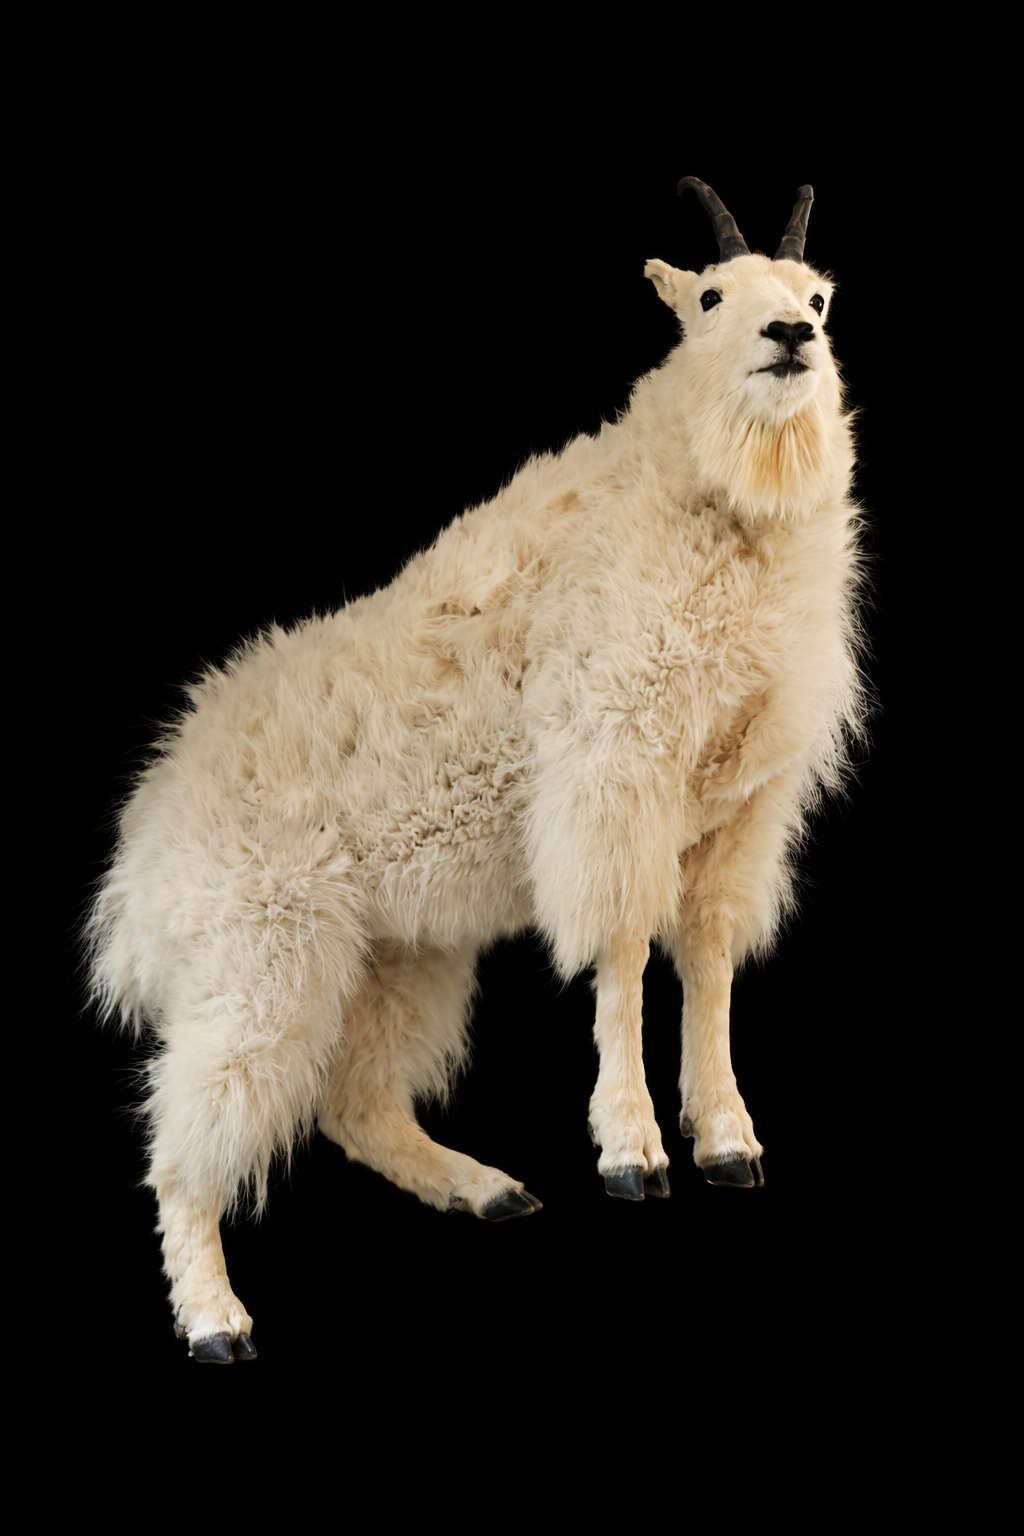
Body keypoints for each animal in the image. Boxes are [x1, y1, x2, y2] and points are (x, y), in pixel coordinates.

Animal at [88, 178, 866, 1362]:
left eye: (818, 294)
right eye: (709, 297)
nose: (791, 338)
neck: (712, 506)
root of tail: (136, 874)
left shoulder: (741, 800)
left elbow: (710, 957)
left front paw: (728, 1138)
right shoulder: (611, 769)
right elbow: (624, 950)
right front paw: (632, 1152)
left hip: (396, 956)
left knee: (357, 1104)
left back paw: (482, 1187)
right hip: (256, 950)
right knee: (188, 1139)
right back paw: (216, 1318)